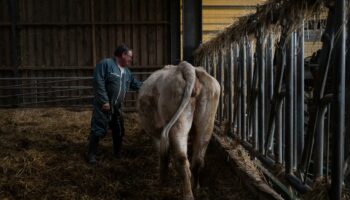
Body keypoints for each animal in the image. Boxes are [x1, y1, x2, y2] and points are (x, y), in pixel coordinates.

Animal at [136, 61, 219, 199]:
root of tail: (186, 67)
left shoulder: (156, 136)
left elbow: (161, 154)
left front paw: (163, 176)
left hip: (178, 125)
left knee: (182, 159)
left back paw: (188, 194)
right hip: (206, 121)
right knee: (198, 159)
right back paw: (196, 187)